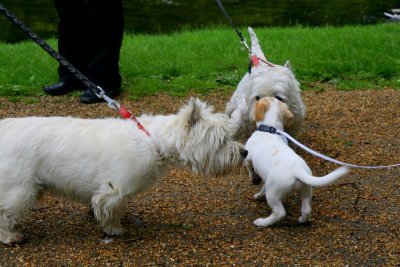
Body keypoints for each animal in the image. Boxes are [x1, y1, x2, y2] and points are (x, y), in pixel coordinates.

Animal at [0, 98, 247, 245]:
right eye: (222, 140)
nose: (244, 152)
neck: (154, 141)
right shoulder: (113, 190)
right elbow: (111, 211)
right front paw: (114, 229)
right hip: (20, 189)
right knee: (5, 213)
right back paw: (10, 236)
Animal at [244, 97, 346, 227]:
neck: (270, 128)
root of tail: (297, 170)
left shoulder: (248, 157)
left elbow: (250, 169)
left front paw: (254, 180)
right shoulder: (267, 180)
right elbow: (263, 187)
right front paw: (259, 194)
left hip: (273, 194)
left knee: (280, 212)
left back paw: (263, 222)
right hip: (306, 190)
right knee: (307, 209)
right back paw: (302, 220)